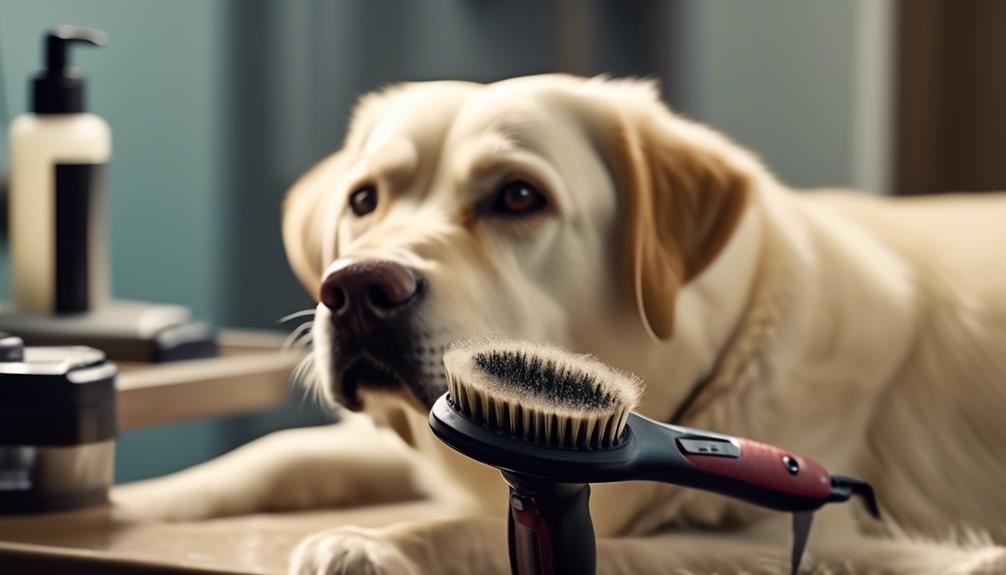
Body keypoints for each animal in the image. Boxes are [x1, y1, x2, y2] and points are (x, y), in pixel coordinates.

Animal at [115, 75, 1006, 570]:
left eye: (518, 195)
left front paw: (376, 543)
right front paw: (131, 501)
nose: (357, 289)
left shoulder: (844, 541)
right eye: (364, 199)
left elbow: (485, 532)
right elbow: (276, 454)